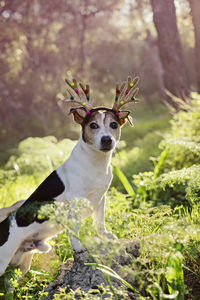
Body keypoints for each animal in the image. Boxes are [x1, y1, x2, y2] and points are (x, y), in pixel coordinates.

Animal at [0, 75, 139, 276]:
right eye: (93, 125)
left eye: (113, 125)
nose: (107, 140)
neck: (95, 163)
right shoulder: (75, 199)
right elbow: (74, 228)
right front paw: (78, 247)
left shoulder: (101, 197)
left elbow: (100, 221)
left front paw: (105, 235)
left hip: (23, 262)